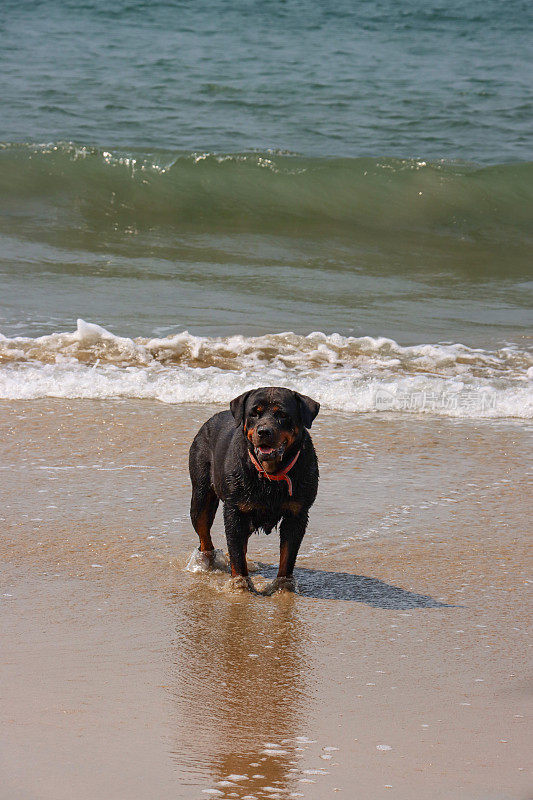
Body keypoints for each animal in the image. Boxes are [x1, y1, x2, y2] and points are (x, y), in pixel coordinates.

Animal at [188, 390, 318, 592]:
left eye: (282, 415)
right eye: (254, 413)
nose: (264, 431)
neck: (270, 475)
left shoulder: (298, 513)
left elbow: (288, 555)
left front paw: (283, 585)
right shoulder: (235, 510)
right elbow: (236, 552)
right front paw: (240, 583)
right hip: (201, 495)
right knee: (204, 535)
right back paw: (208, 562)